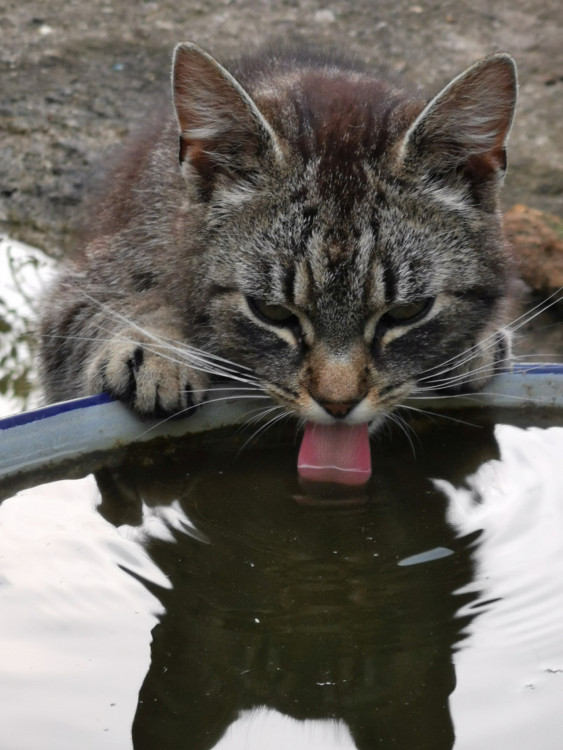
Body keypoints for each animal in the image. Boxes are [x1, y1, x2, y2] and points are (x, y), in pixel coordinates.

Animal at [37, 42, 516, 440]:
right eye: (270, 312)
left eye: (407, 311)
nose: (338, 405)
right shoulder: (86, 282)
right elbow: (108, 309)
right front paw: (156, 348)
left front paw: (477, 341)